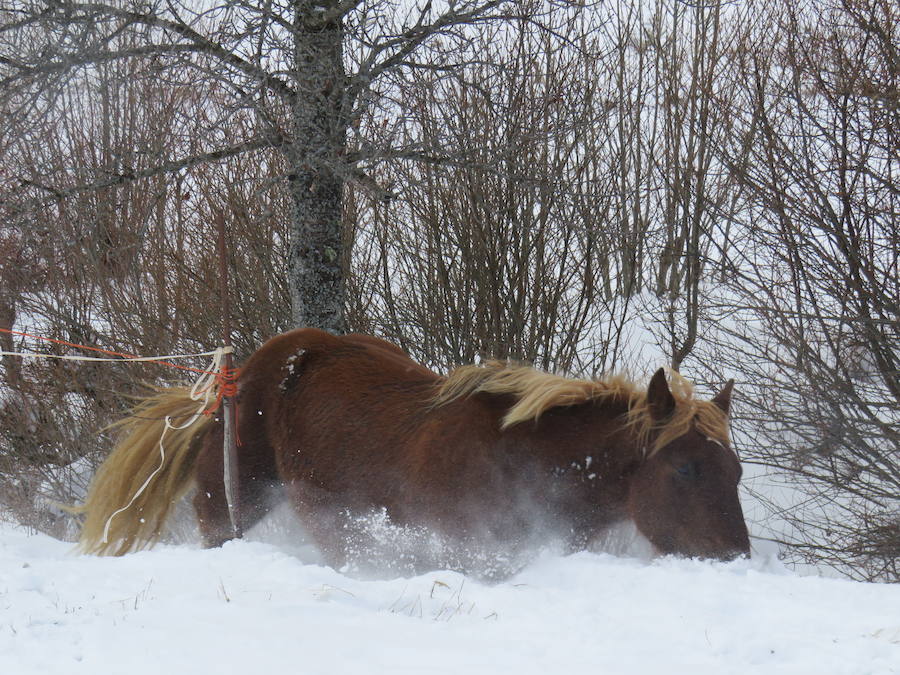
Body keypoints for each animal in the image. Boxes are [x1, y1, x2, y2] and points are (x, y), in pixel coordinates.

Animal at [79, 328, 752, 576]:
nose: (735, 557)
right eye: (685, 466)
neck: (530, 458)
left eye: (737, 471)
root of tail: (241, 371)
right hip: (232, 502)